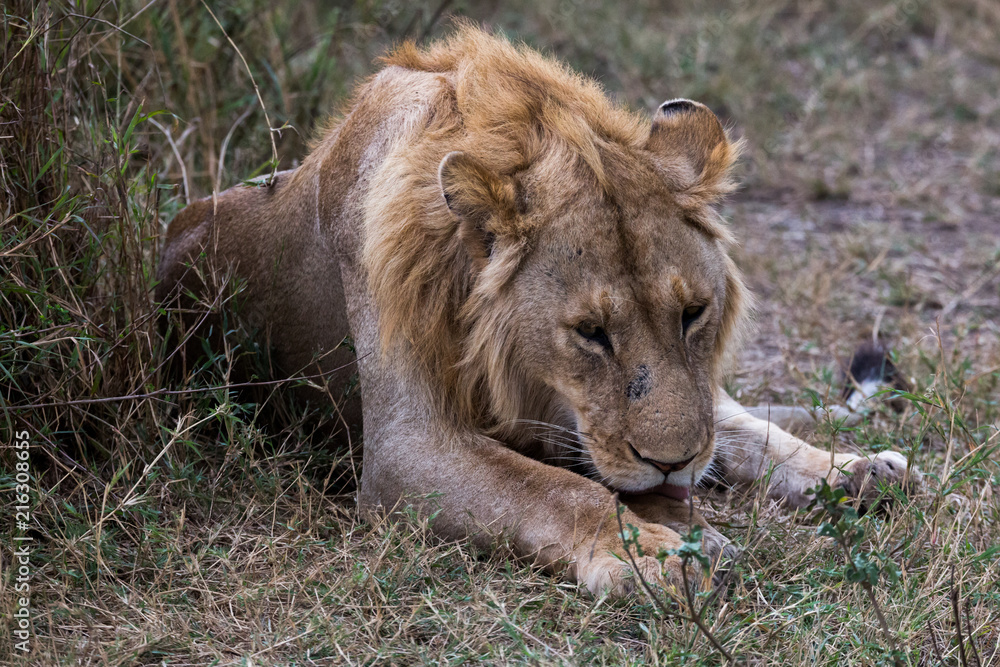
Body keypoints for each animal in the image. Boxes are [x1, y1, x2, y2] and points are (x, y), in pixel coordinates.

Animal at [157, 25, 917, 596]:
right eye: (590, 333)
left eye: (694, 313)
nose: (670, 464)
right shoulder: (406, 450)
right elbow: (553, 490)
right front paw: (655, 553)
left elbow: (723, 431)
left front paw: (831, 472)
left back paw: (852, 472)